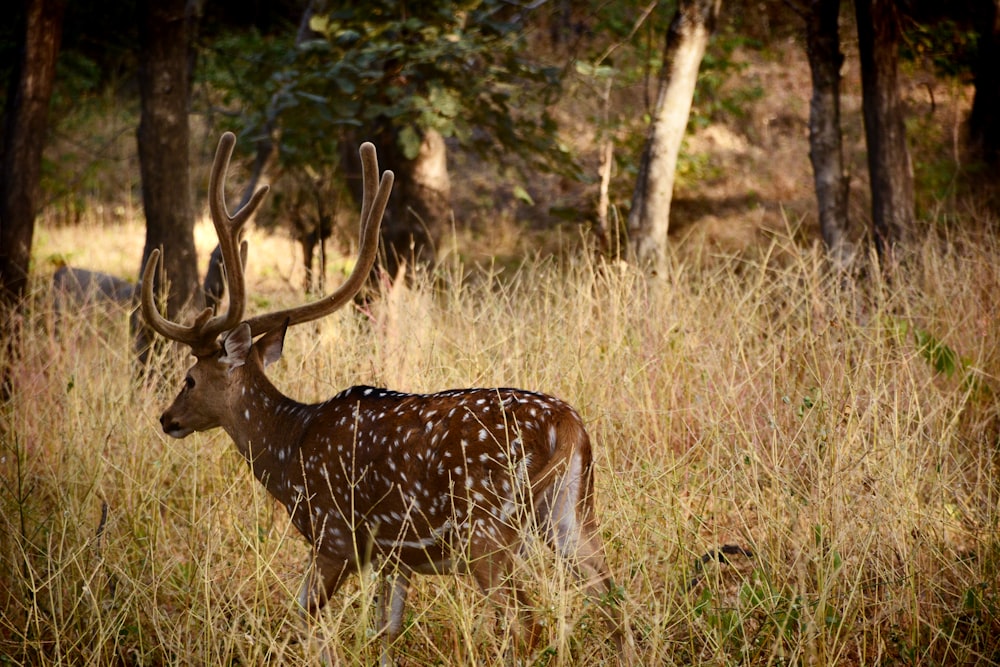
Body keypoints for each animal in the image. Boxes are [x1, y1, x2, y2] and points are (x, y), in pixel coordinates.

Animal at [141, 130, 624, 664]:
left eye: (189, 378)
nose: (167, 419)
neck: (289, 451)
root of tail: (569, 427)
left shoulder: (335, 536)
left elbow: (303, 621)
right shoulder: (393, 555)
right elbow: (384, 633)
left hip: (489, 529)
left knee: (526, 623)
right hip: (572, 513)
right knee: (613, 598)